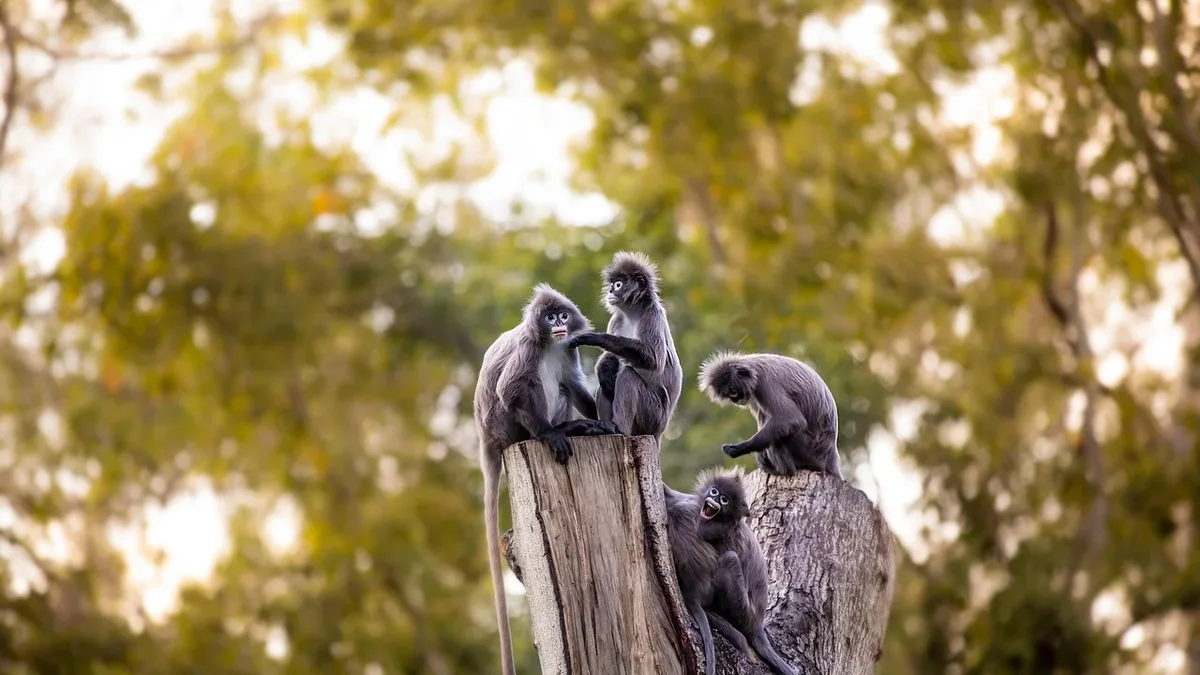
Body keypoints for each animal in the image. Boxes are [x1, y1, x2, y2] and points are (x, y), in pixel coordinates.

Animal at [474, 283, 622, 675]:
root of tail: (487, 440)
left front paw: (605, 409)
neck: (550, 343)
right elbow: (511, 390)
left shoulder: (567, 349)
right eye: (550, 316)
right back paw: (561, 431)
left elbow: (575, 385)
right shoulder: (529, 348)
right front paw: (552, 435)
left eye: (562, 316)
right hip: (505, 426)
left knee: (562, 385)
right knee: (529, 386)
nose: (557, 323)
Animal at [567, 251, 683, 446]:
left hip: (652, 416)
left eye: (618, 284)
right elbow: (610, 359)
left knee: (628, 376)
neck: (632, 314)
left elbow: (655, 361)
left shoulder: (651, 314)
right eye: (612, 284)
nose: (610, 291)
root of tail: (659, 432)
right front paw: (603, 369)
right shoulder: (617, 319)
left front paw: (595, 337)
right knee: (606, 386)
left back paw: (618, 428)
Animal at [698, 351, 842, 479]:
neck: (752, 366)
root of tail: (830, 454)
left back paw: (783, 470)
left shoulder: (765, 382)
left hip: (809, 452)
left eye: (733, 391)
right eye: (729, 395)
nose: (736, 400)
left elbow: (791, 420)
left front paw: (739, 448)